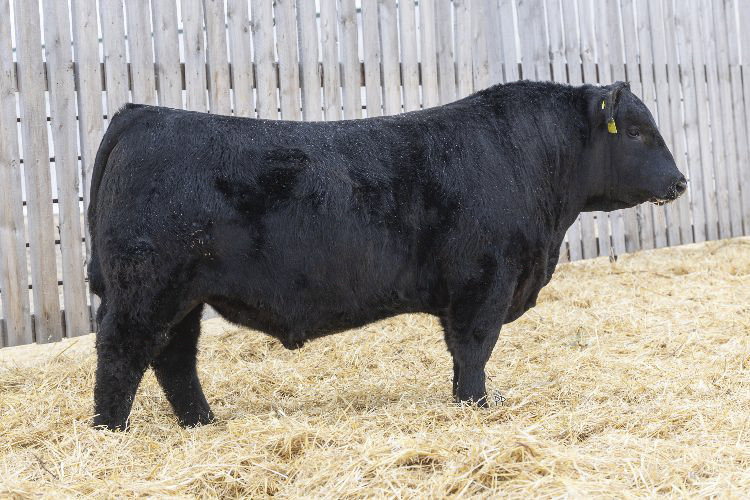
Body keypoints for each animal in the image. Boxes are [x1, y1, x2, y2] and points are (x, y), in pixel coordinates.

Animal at [88, 80, 686, 430]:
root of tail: (142, 113)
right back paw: (110, 432)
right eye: (636, 132)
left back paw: (203, 422)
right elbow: (474, 350)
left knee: (174, 360)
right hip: (146, 287)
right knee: (121, 354)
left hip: (184, 296)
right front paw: (477, 406)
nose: (680, 182)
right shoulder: (485, 281)